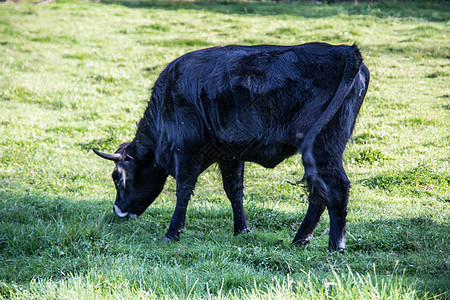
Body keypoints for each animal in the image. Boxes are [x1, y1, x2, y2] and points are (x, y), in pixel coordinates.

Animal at [92, 42, 370, 252]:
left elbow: (183, 191)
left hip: (323, 147)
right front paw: (241, 229)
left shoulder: (185, 151)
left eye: (118, 176)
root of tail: (345, 51)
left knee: (336, 188)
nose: (118, 210)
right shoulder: (230, 154)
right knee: (318, 193)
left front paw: (172, 233)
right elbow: (234, 191)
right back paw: (300, 239)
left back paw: (335, 246)